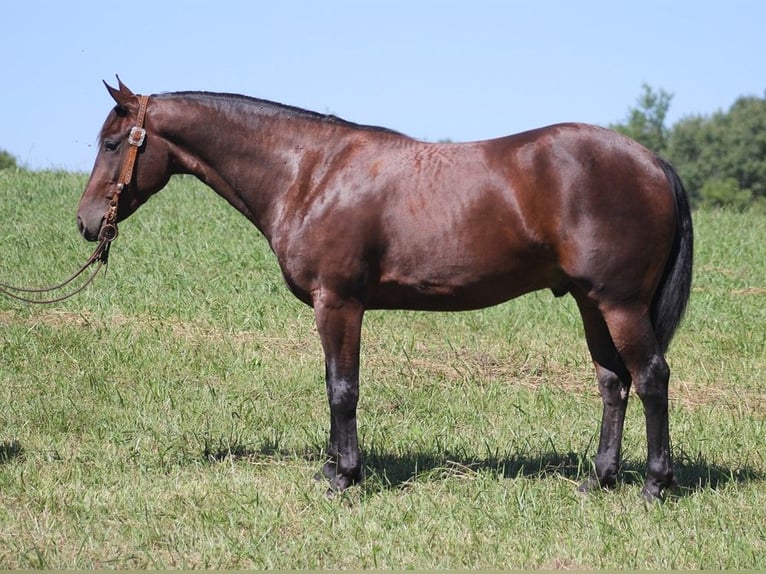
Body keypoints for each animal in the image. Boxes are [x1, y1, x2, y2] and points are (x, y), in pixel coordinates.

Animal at [78, 79, 696, 502]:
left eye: (112, 143)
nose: (86, 223)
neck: (311, 173)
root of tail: (653, 162)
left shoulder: (339, 302)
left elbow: (342, 389)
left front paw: (344, 478)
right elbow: (334, 384)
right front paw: (333, 468)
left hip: (620, 305)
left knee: (650, 378)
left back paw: (654, 486)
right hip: (593, 304)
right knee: (613, 383)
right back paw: (599, 480)